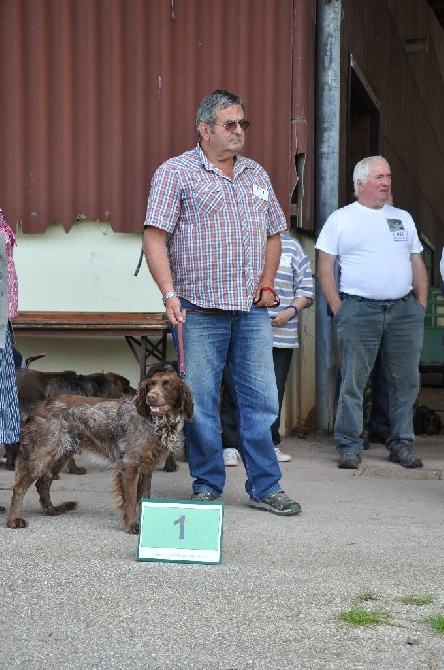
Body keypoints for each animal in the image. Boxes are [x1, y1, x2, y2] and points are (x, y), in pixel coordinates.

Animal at [5, 372, 193, 536]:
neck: (158, 422)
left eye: (168, 384)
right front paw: (132, 525)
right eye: (151, 385)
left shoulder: (147, 467)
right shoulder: (130, 465)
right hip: (42, 454)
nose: (150, 397)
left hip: (61, 454)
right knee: (19, 487)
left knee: (43, 483)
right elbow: (131, 499)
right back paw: (13, 520)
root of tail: (38, 407)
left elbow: (143, 497)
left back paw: (50, 509)